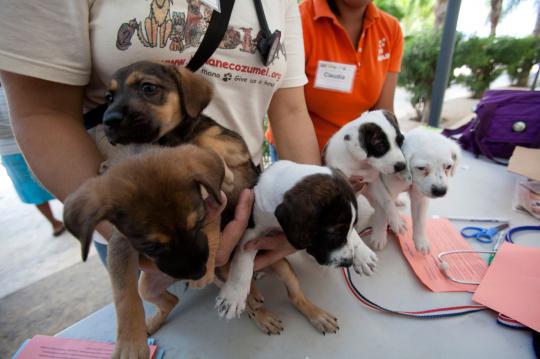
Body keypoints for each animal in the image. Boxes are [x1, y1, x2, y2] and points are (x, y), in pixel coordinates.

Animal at [214, 160, 376, 326]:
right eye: (333, 234)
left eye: (352, 226)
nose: (348, 262)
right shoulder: (250, 230)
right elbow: (242, 261)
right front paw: (233, 295)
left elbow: (352, 235)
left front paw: (363, 255)